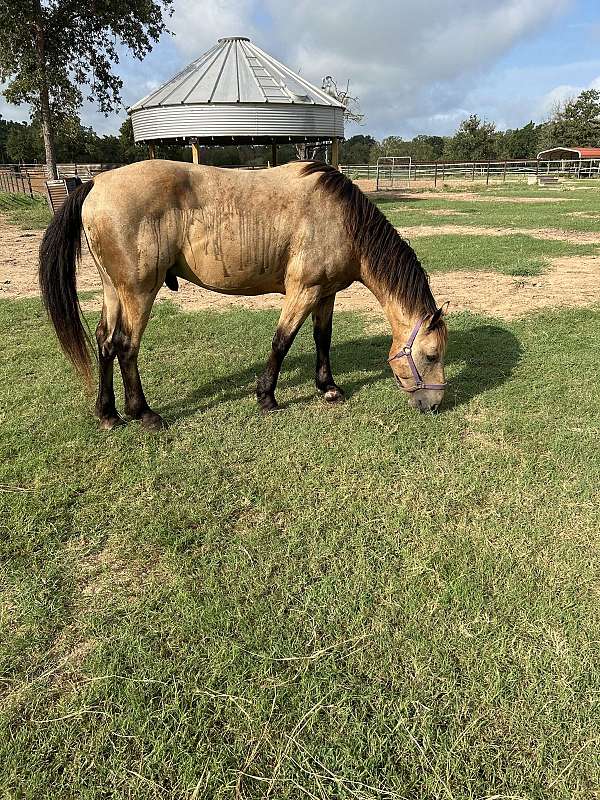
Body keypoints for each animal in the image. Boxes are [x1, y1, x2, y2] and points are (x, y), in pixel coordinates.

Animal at [39, 160, 448, 430]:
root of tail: (96, 183)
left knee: (105, 342)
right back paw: (144, 414)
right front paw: (267, 397)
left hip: (114, 291)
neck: (341, 219)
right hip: (139, 293)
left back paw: (108, 414)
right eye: (431, 355)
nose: (434, 405)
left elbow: (323, 338)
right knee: (126, 346)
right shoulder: (303, 290)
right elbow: (282, 341)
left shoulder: (325, 294)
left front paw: (328, 388)